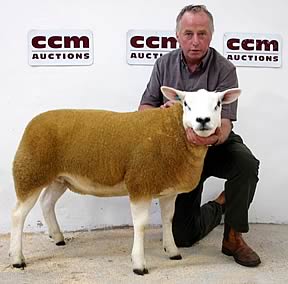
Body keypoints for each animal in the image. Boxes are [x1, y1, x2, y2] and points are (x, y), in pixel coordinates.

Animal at [9, 86, 240, 276]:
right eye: (186, 104)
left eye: (218, 104)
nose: (203, 120)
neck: (174, 133)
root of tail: (34, 122)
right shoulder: (140, 183)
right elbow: (141, 224)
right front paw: (138, 264)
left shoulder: (169, 189)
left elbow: (168, 219)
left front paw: (172, 251)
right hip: (30, 172)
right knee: (18, 215)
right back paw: (17, 258)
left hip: (60, 178)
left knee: (47, 202)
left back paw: (57, 237)